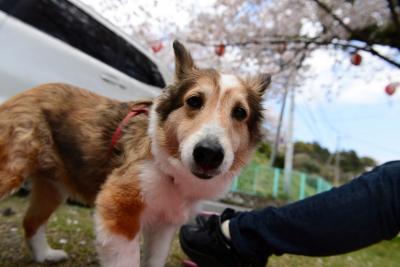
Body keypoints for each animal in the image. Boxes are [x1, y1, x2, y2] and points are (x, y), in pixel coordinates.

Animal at [0, 40, 272, 266]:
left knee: (31, 222)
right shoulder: (118, 211)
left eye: (240, 113)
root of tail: (27, 93)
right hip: (12, 171)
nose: (208, 154)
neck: (165, 165)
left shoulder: (164, 223)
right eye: (194, 101)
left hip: (54, 187)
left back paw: (45, 255)